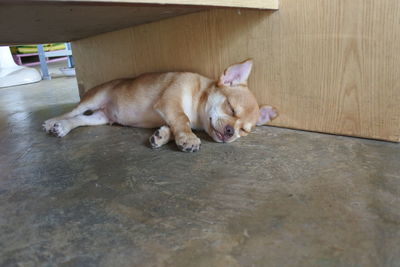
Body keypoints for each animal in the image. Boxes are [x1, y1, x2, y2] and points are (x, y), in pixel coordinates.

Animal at [42, 60, 276, 153]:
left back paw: (63, 127)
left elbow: (174, 125)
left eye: (243, 131)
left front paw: (162, 136)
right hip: (94, 97)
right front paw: (189, 138)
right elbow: (182, 119)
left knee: (80, 119)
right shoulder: (169, 102)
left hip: (100, 118)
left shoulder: (169, 114)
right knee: (72, 111)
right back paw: (52, 122)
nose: (230, 132)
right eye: (231, 108)